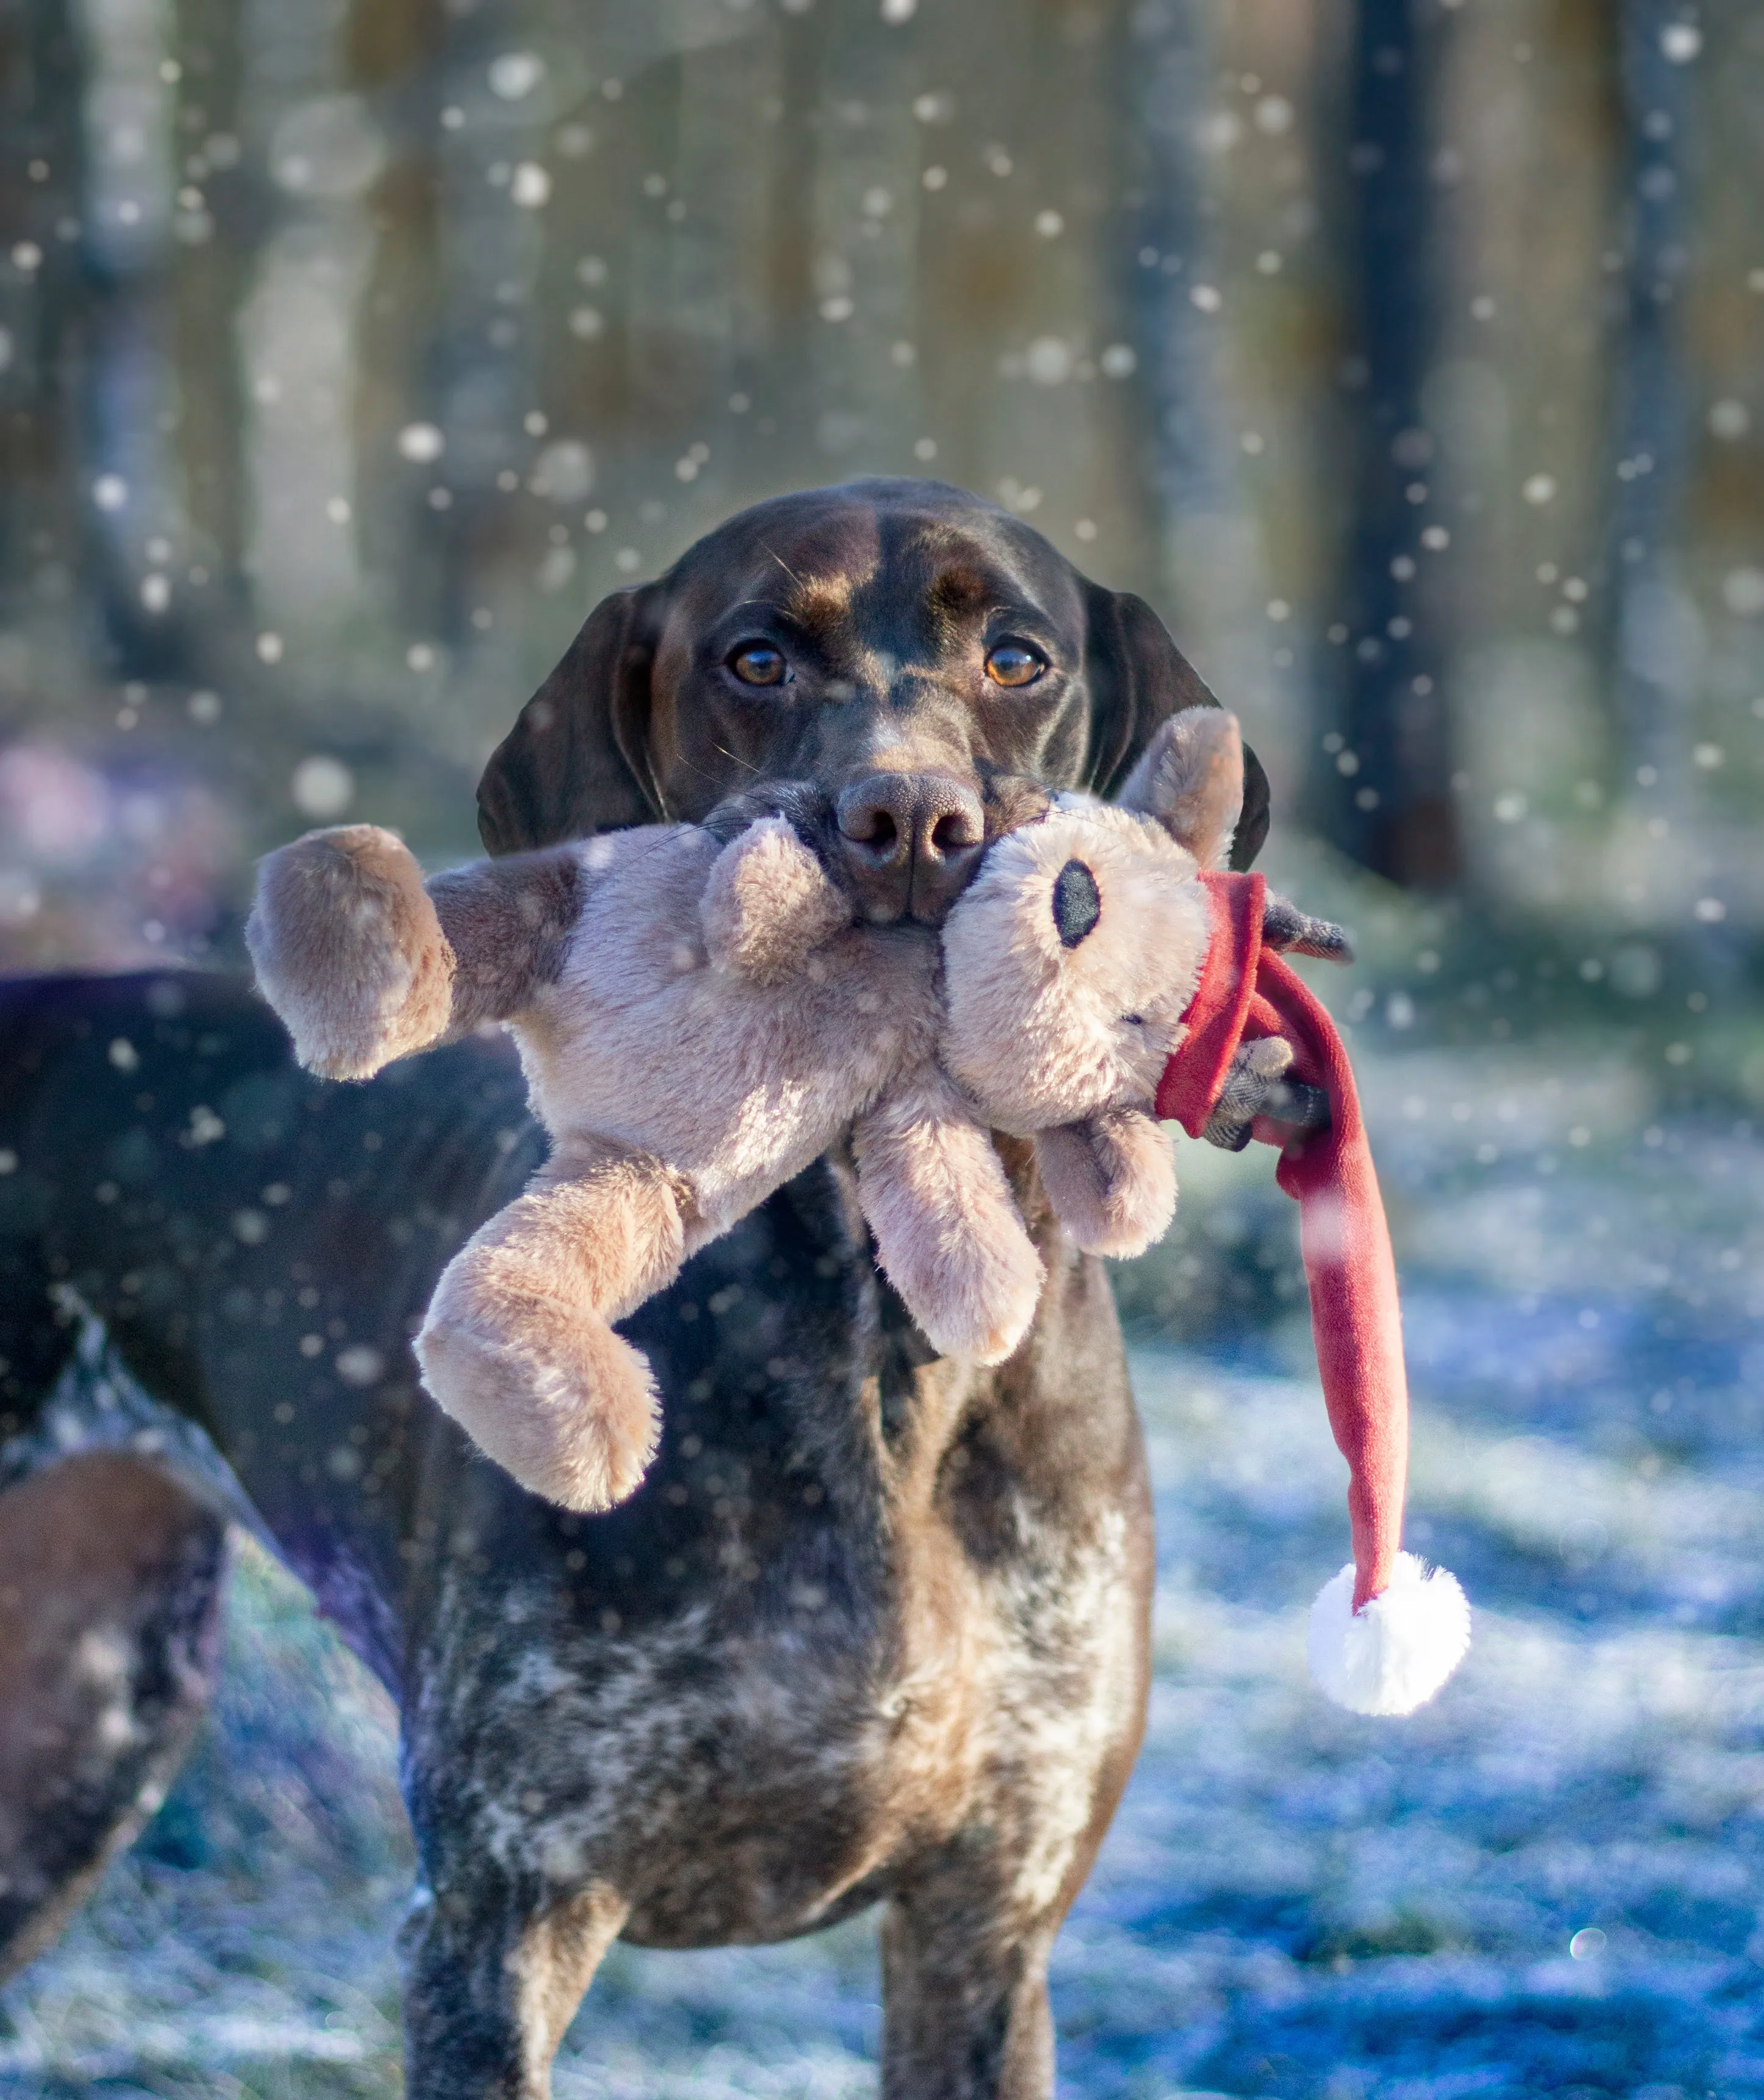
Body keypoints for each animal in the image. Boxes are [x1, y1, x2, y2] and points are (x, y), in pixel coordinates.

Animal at [0, 480, 1318, 2100]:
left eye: (1017, 656)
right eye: (754, 657)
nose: (904, 822)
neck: (870, 1349)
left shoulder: (983, 1927)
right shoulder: (503, 1914)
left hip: (75, 1729)